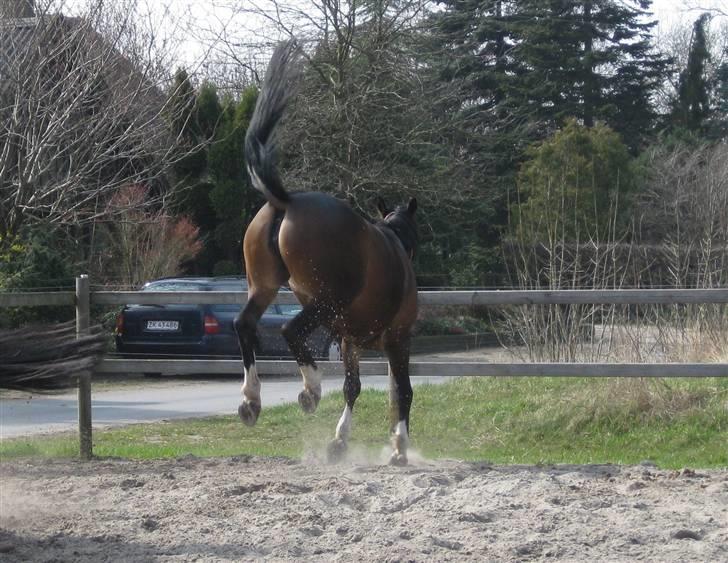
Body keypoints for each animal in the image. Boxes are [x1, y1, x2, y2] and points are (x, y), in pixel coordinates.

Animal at [232, 41, 416, 468]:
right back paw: (310, 390)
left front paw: (341, 442)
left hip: (264, 288)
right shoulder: (397, 339)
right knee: (288, 330)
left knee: (245, 325)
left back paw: (251, 401)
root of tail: (287, 200)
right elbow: (402, 390)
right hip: (323, 301)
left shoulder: (349, 341)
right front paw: (398, 446)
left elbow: (354, 386)